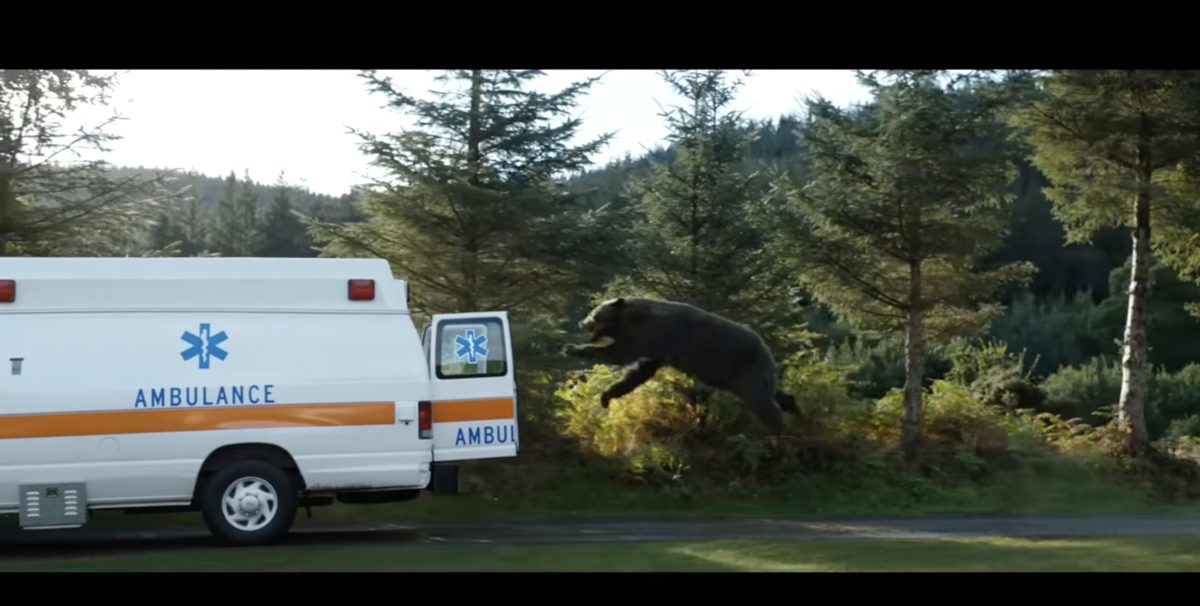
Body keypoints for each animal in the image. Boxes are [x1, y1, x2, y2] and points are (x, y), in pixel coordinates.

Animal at [561, 296, 799, 433]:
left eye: (594, 313)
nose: (583, 321)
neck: (629, 319)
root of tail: (768, 351)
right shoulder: (654, 348)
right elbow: (639, 372)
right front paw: (607, 396)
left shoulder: (650, 334)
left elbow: (621, 353)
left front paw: (573, 348)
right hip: (749, 376)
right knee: (776, 395)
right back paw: (795, 408)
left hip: (746, 373)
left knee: (765, 405)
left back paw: (782, 432)